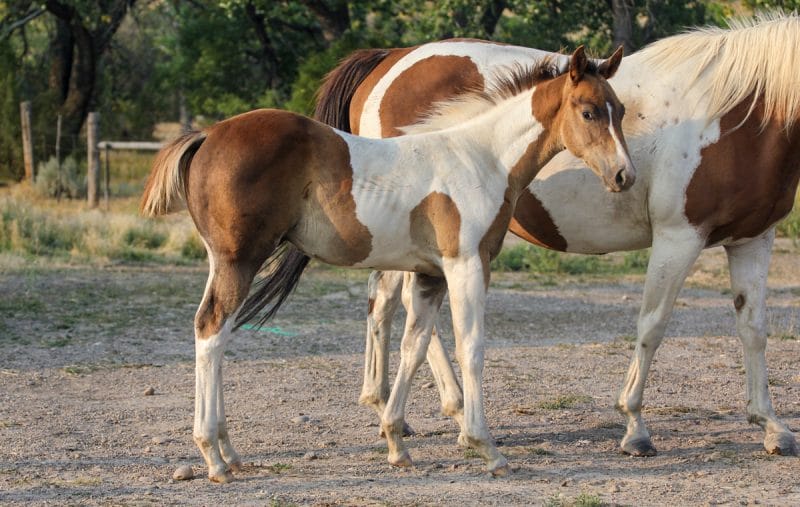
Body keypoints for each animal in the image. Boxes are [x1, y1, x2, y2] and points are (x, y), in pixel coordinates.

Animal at [141, 45, 636, 482]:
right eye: (589, 112)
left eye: (620, 110)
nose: (624, 176)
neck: (481, 158)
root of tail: (209, 134)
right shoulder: (467, 265)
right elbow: (470, 348)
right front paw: (488, 449)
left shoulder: (430, 275)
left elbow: (412, 347)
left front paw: (397, 444)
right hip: (240, 259)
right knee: (211, 330)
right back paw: (214, 457)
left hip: (223, 261)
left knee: (214, 330)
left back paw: (229, 450)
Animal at [316, 11, 800, 464]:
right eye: (590, 113)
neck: (740, 115)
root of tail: (388, 60)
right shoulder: (678, 237)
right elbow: (652, 326)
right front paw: (635, 427)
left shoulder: (753, 239)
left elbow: (753, 328)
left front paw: (771, 425)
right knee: (400, 307)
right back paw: (446, 411)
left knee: (391, 305)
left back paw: (405, 410)